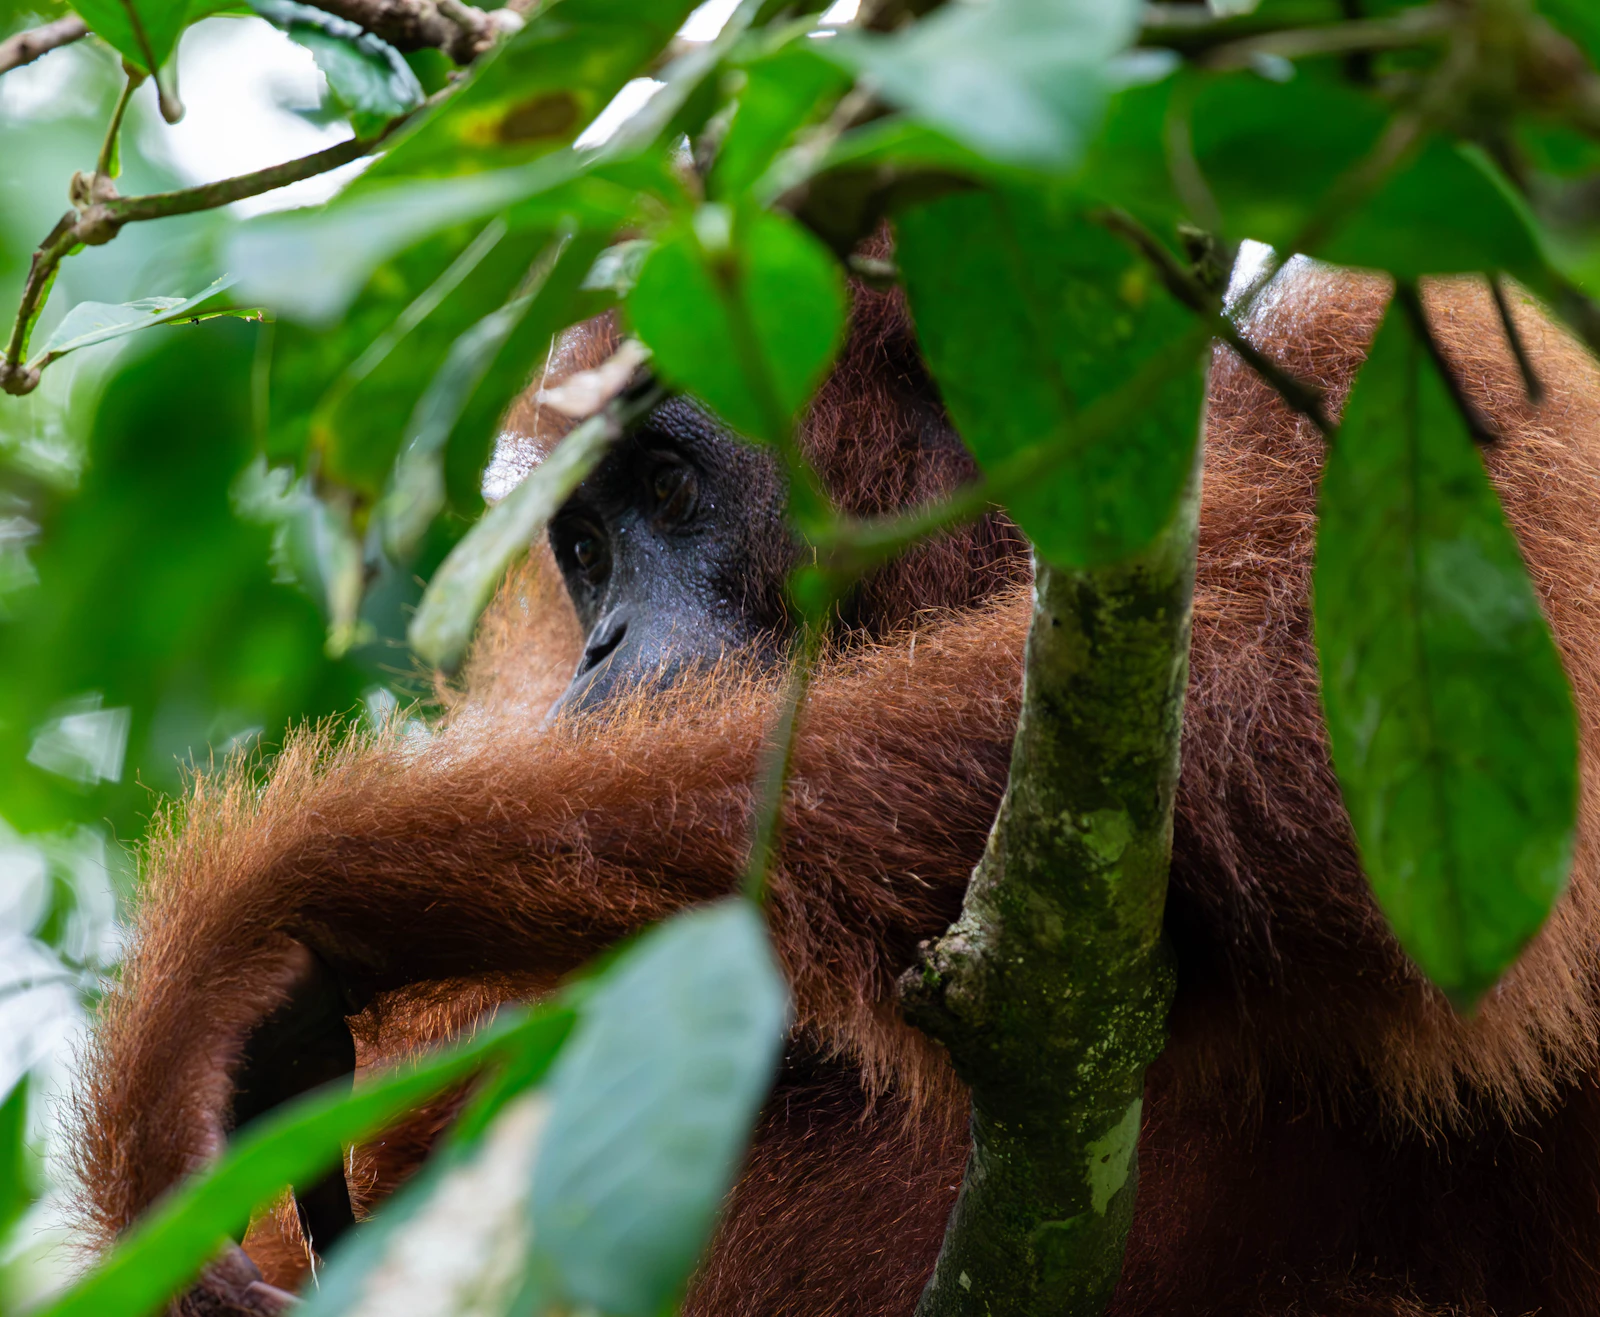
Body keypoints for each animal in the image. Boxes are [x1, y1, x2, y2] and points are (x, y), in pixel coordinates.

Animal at [66, 256, 1600, 1317]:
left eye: (670, 491)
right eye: (583, 549)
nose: (605, 647)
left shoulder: (1425, 369)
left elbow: (1304, 731)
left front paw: (256, 938)